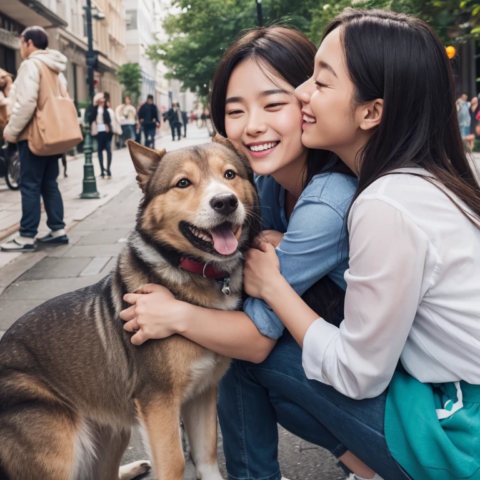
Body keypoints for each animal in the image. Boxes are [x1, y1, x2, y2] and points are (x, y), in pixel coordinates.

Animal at [0, 137, 260, 478]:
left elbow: (207, 455)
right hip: (59, 439)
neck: (192, 274)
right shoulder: (158, 401)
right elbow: (175, 464)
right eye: (183, 183)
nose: (225, 202)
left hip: (112, 432)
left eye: (230, 174)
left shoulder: (203, 393)